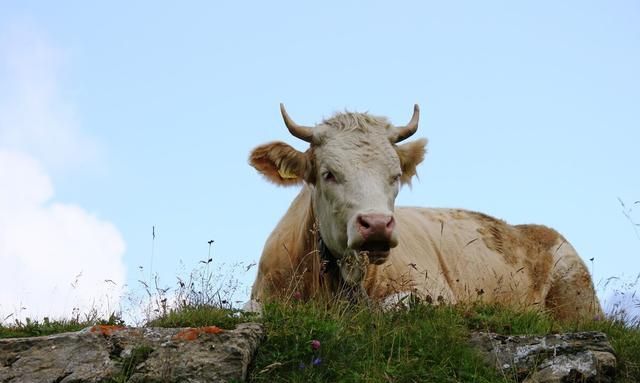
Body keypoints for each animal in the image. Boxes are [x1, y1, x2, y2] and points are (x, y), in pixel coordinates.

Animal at [248, 104, 604, 320]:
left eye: (395, 175)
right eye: (328, 174)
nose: (377, 225)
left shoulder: (435, 291)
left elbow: (395, 305)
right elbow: (253, 309)